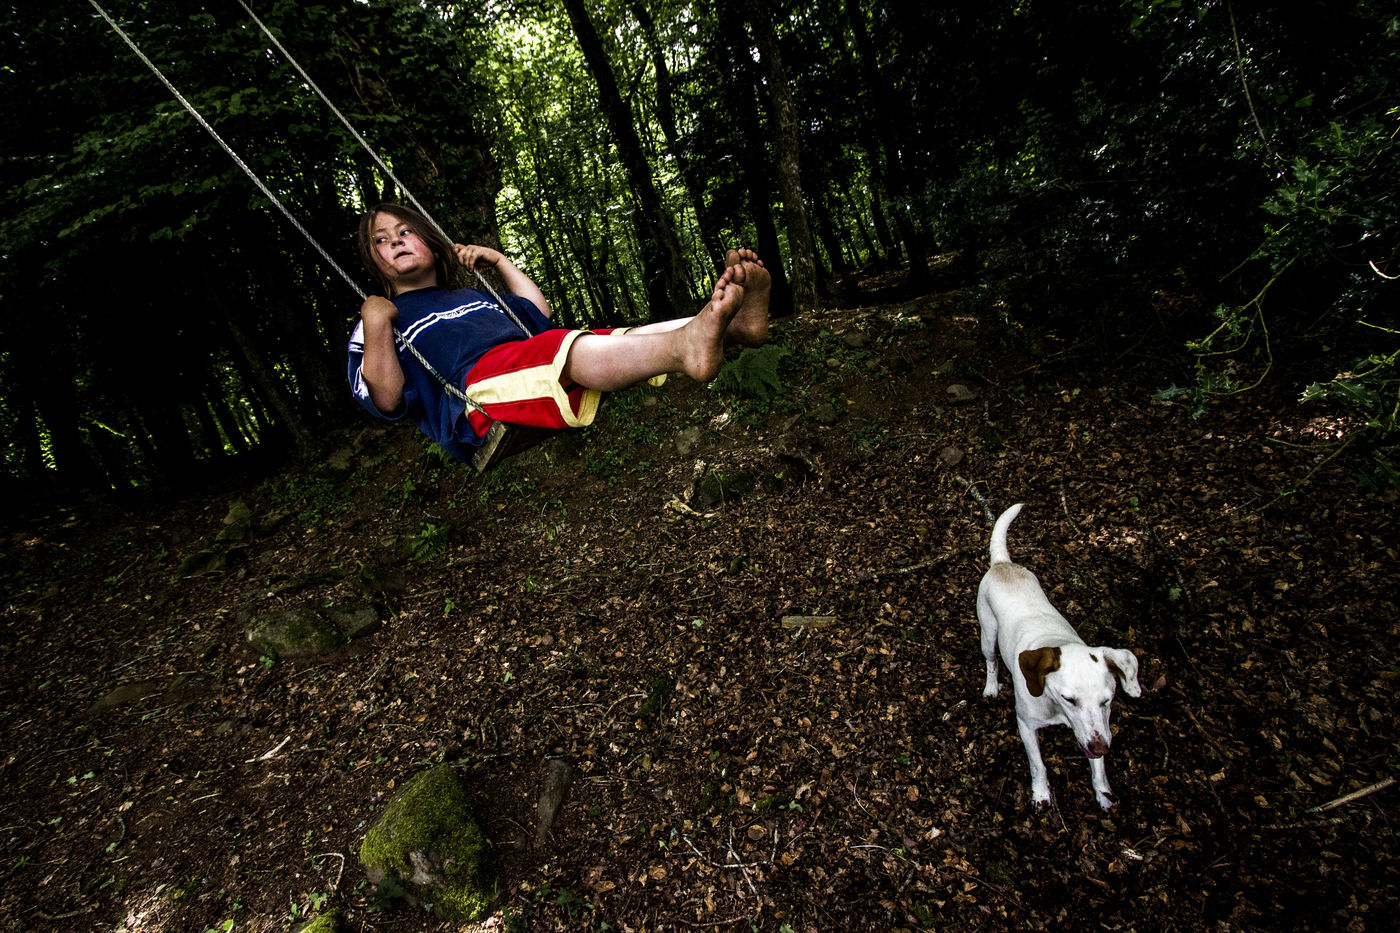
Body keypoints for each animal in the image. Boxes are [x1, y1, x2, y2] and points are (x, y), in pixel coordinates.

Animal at [977, 503, 1141, 810]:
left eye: (1107, 700)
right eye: (1069, 699)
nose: (1100, 747)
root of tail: (1003, 564)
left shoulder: (1096, 729)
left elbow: (1098, 769)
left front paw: (1103, 794)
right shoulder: (1026, 726)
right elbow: (1038, 765)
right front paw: (1041, 794)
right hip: (988, 634)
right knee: (991, 661)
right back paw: (991, 687)